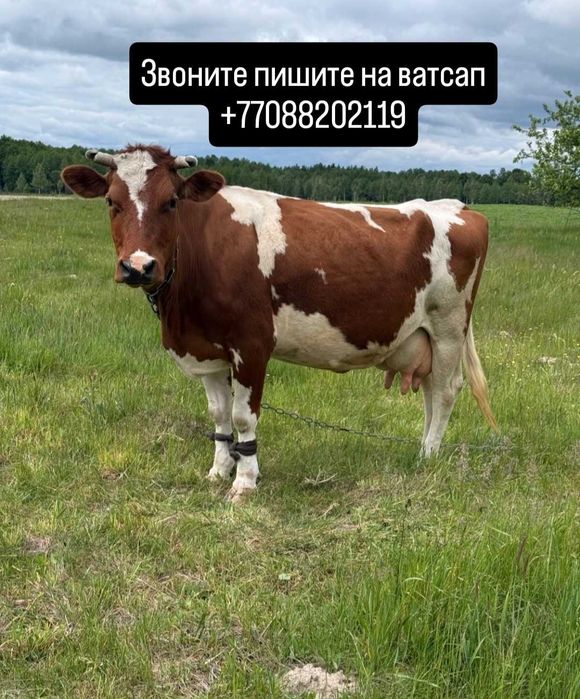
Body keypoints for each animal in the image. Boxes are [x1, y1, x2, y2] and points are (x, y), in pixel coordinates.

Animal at [61, 145, 497, 502]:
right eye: (111, 201)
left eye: (170, 202)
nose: (138, 266)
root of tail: (458, 207)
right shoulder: (207, 350)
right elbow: (219, 415)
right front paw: (219, 470)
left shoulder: (252, 345)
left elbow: (243, 416)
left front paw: (244, 482)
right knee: (430, 392)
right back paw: (422, 449)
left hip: (448, 326)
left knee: (444, 391)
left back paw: (428, 455)